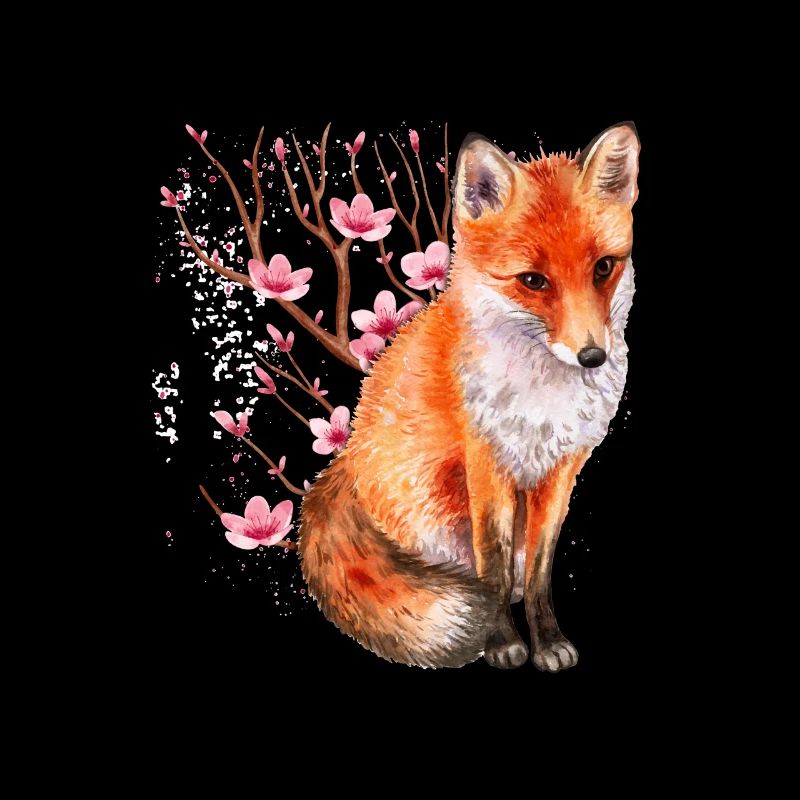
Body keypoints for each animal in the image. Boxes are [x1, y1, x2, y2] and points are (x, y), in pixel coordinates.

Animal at [299, 122, 640, 671]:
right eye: (533, 281)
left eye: (604, 268)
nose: (592, 356)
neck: (542, 403)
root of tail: (343, 465)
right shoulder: (485, 464)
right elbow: (491, 567)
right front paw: (501, 641)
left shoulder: (561, 471)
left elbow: (539, 569)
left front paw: (547, 640)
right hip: (433, 506)